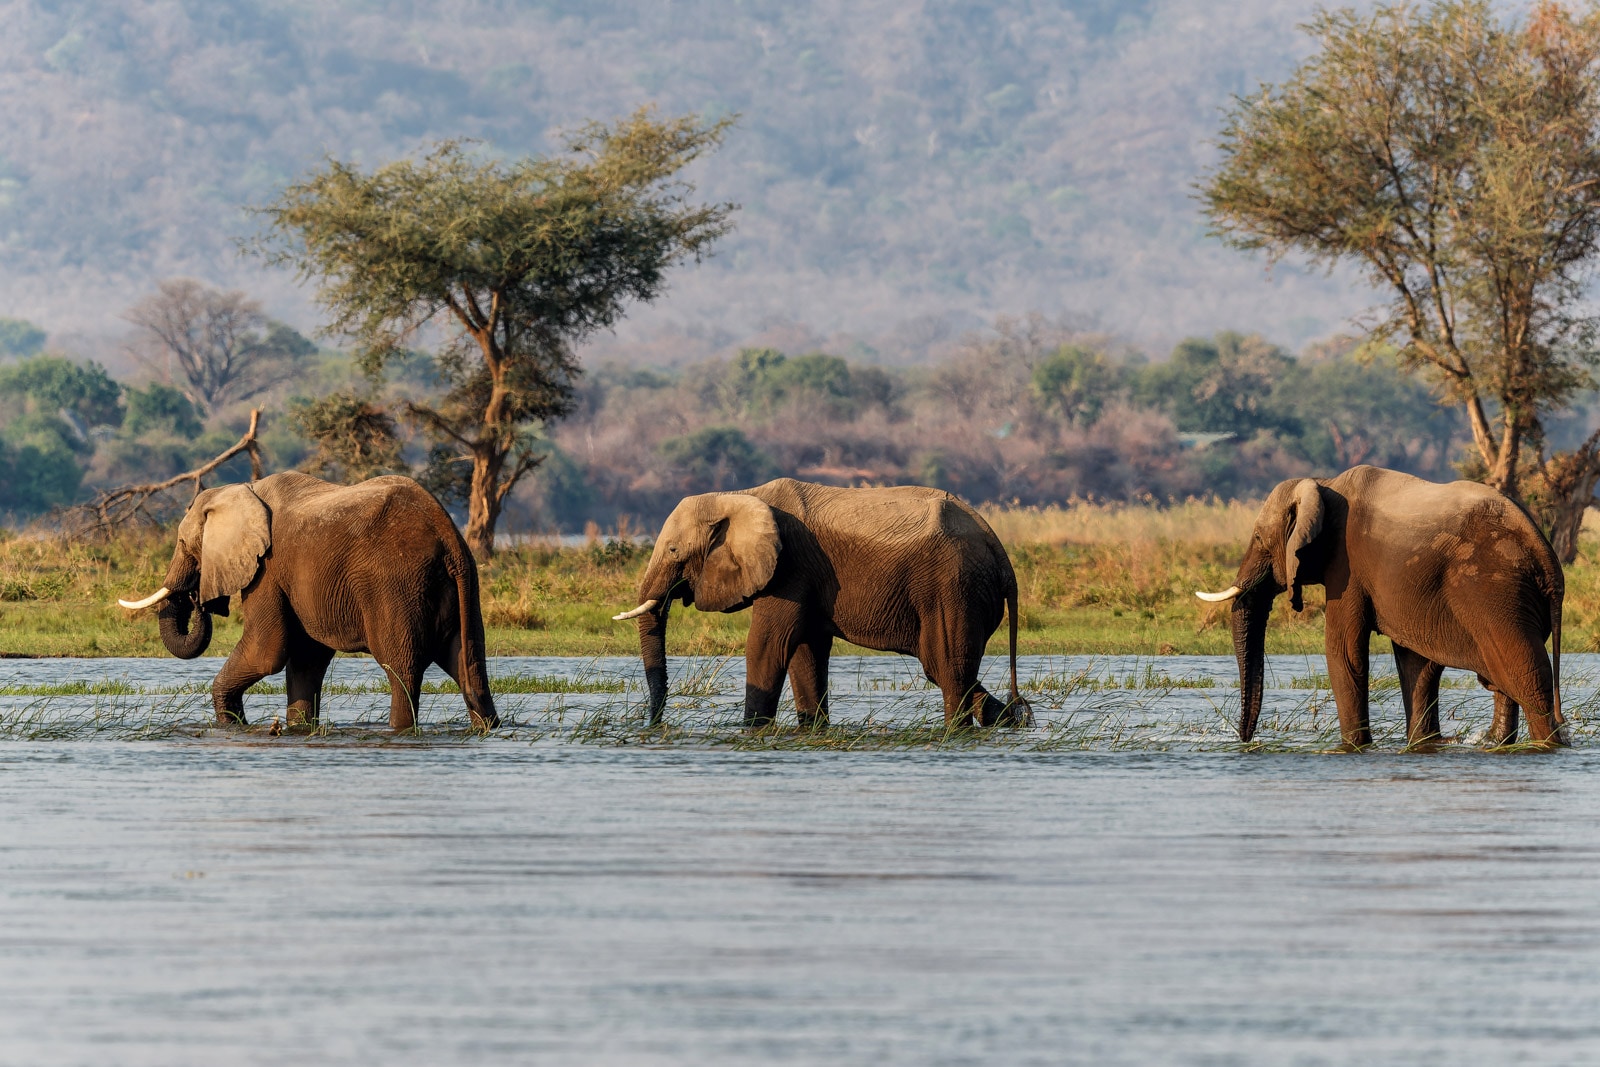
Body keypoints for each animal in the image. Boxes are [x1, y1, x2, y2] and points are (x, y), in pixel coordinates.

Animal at [118, 471, 498, 731]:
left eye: (184, 544)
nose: (197, 597)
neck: (242, 489)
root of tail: (448, 536)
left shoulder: (268, 569)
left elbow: (267, 650)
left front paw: (232, 727)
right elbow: (305, 657)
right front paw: (300, 729)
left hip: (398, 587)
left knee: (402, 670)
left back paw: (401, 729)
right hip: (462, 589)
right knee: (468, 665)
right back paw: (488, 727)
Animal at [613, 478, 1031, 729]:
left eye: (672, 550)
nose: (654, 724)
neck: (741, 496)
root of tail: (998, 548)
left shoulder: (790, 568)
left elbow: (767, 646)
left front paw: (751, 731)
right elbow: (805, 650)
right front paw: (812, 729)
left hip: (952, 588)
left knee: (946, 668)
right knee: (947, 669)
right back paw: (1016, 719)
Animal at [1195, 465, 1563, 748]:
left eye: (1258, 538)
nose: (1245, 739)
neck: (1323, 483)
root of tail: (1546, 557)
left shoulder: (1347, 567)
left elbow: (1344, 652)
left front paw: (1354, 747)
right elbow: (1416, 662)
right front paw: (1422, 744)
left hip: (1495, 590)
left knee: (1526, 677)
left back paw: (1547, 744)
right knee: (1503, 679)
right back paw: (1496, 743)